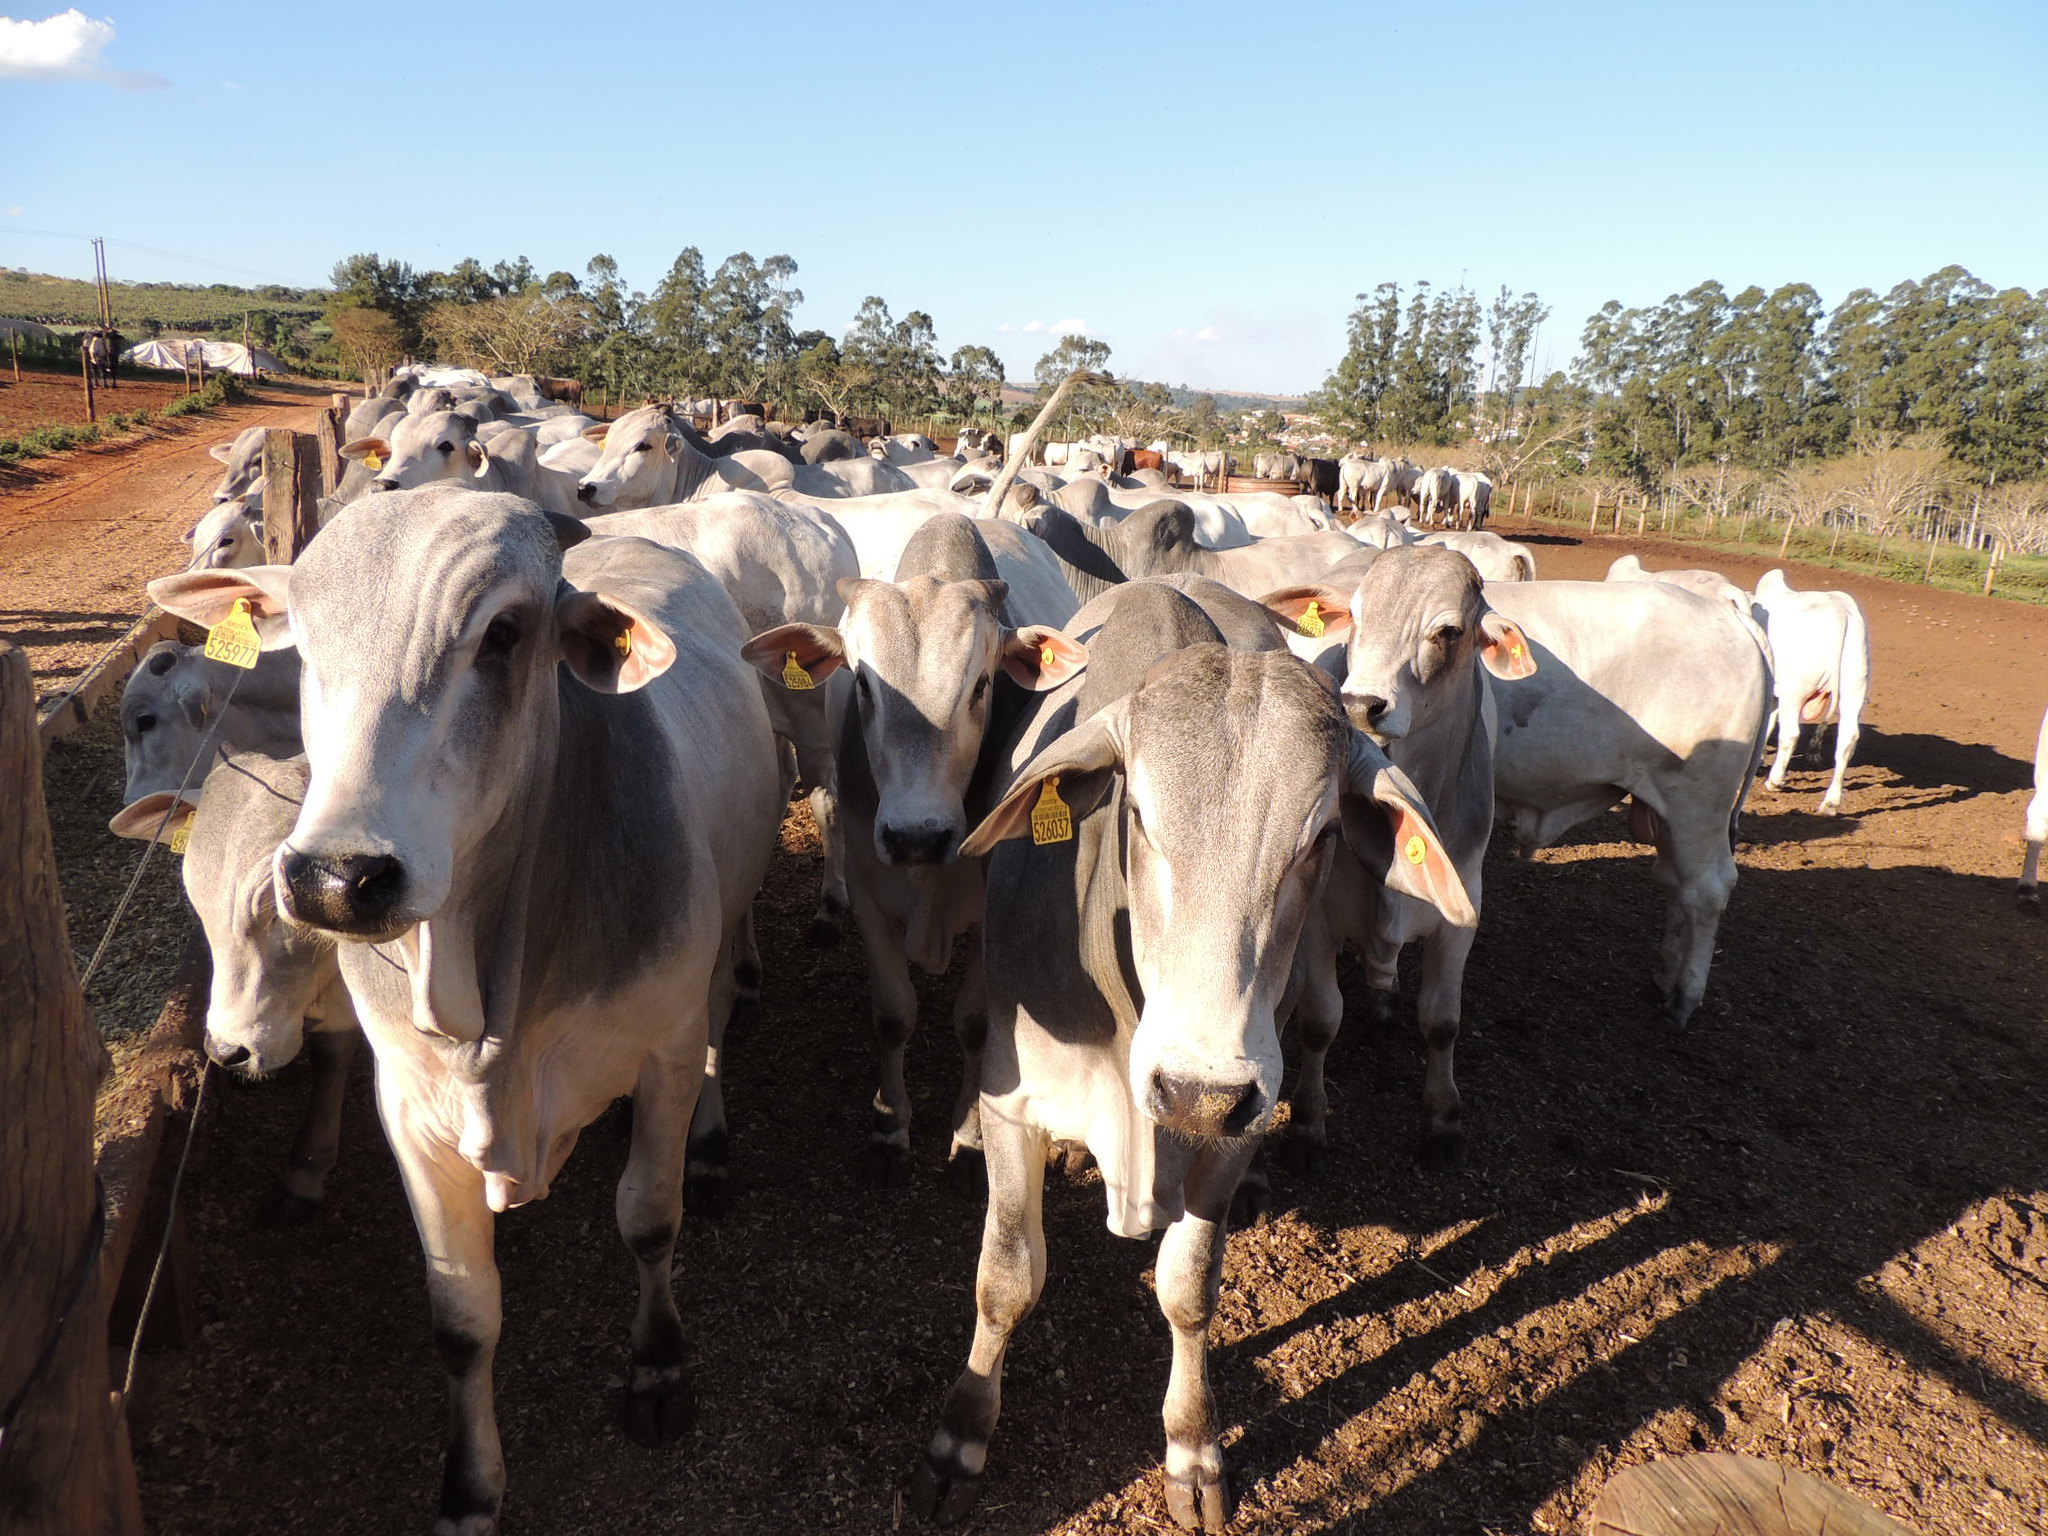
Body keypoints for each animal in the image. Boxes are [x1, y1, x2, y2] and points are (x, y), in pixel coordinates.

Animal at [917, 606, 1474, 1531]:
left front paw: (1192, 1448)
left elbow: (1189, 1290)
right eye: (1137, 813)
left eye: (1323, 836)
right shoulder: (1017, 1106)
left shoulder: (1232, 1132)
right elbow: (1007, 1277)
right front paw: (961, 1434)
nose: (1196, 1091)